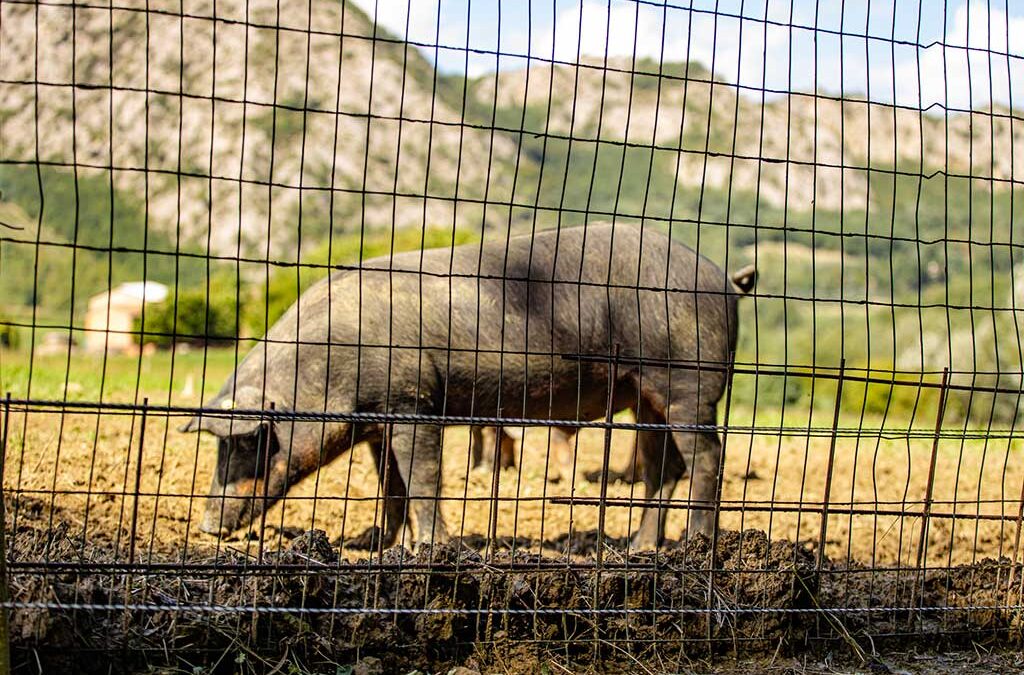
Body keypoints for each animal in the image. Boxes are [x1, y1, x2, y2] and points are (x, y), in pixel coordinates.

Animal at [180, 224, 757, 553]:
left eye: (251, 442)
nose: (206, 526)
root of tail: (724, 279)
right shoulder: (377, 422)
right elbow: (390, 487)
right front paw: (371, 545)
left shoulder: (412, 403)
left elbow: (422, 479)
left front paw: (432, 549)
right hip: (645, 396)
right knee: (665, 468)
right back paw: (638, 550)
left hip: (687, 382)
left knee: (708, 457)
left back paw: (696, 545)